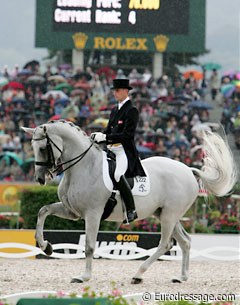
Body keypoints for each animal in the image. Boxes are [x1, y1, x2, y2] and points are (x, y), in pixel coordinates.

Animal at [22, 119, 236, 282]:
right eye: (33, 147)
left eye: (43, 148)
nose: (40, 178)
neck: (83, 167)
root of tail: (188, 170)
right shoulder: (72, 211)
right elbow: (43, 210)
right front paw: (45, 246)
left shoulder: (93, 214)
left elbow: (90, 246)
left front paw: (84, 277)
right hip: (166, 214)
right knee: (185, 241)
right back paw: (181, 277)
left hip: (170, 215)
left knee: (165, 244)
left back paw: (138, 274)